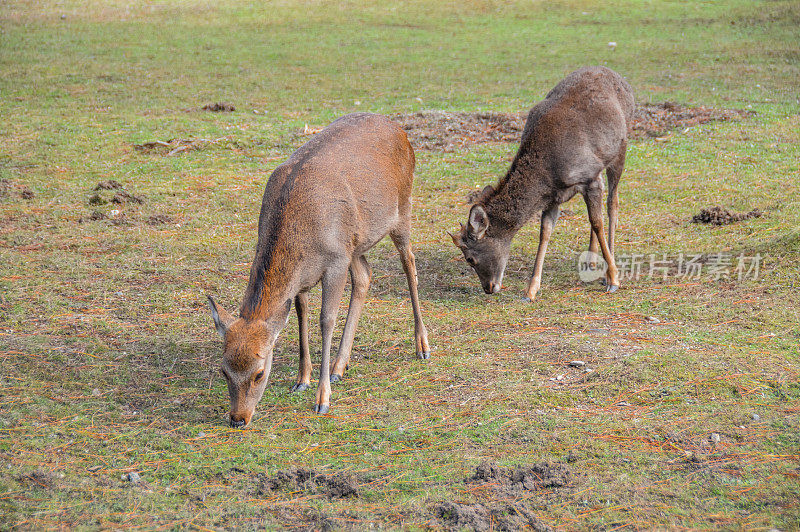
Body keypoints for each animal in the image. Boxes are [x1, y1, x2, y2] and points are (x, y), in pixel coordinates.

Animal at [208, 113, 432, 428]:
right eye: (224, 370)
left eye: (260, 373)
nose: (238, 418)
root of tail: (399, 129)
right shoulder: (305, 275)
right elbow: (301, 315)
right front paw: (302, 379)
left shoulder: (335, 261)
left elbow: (326, 320)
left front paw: (322, 399)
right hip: (355, 243)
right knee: (365, 275)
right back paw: (340, 365)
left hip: (403, 207)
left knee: (409, 262)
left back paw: (422, 346)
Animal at [450, 66, 632, 300]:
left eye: (469, 258)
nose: (489, 288)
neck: (548, 173)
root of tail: (617, 75)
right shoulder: (555, 196)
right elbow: (545, 232)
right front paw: (531, 290)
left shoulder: (588, 178)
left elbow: (597, 223)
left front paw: (613, 279)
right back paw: (591, 261)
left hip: (620, 149)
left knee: (613, 203)